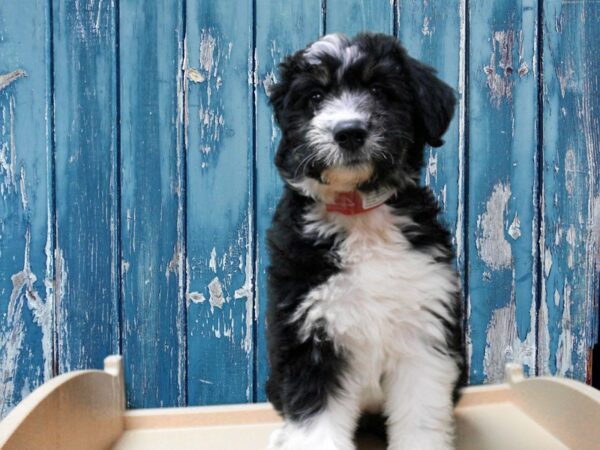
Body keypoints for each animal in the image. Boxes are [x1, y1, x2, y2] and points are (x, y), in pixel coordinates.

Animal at [264, 32, 466, 450]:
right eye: (315, 97)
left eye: (378, 90)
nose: (349, 131)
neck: (359, 212)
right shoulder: (310, 335)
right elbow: (315, 423)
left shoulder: (424, 333)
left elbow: (421, 415)